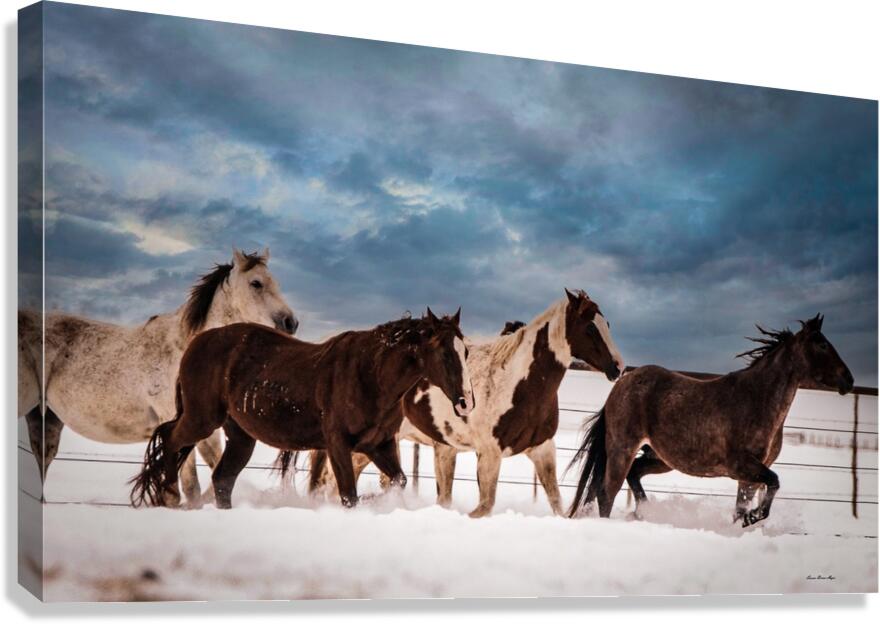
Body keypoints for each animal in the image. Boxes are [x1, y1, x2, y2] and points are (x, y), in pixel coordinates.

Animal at [19, 249, 297, 505]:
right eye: (256, 283)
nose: (290, 323)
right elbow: (188, 488)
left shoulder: (208, 432)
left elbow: (214, 477)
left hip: (46, 419)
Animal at [130, 309, 474, 509]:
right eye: (445, 353)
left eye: (466, 351)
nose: (465, 402)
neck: (370, 374)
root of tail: (195, 345)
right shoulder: (337, 444)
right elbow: (349, 495)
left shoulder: (380, 444)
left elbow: (399, 481)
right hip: (201, 418)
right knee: (171, 440)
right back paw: (167, 496)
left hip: (240, 436)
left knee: (222, 479)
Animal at [304, 289, 624, 517]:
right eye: (590, 328)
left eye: (608, 323)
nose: (618, 368)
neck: (516, 382)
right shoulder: (489, 454)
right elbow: (483, 506)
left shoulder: (542, 449)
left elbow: (557, 503)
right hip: (365, 447)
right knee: (334, 483)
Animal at [567, 314, 853, 527]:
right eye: (822, 344)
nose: (848, 380)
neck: (757, 399)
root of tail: (621, 384)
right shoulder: (744, 466)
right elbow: (773, 483)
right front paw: (753, 518)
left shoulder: (749, 476)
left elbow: (742, 508)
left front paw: (745, 522)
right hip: (622, 449)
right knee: (606, 493)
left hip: (659, 458)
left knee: (631, 475)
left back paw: (645, 513)